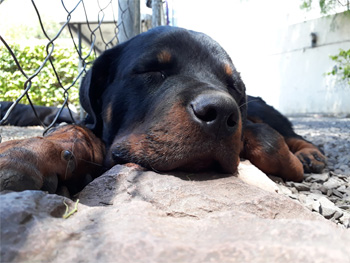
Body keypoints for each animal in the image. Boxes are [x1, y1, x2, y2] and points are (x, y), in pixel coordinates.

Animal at [0, 26, 326, 196]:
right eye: (153, 70)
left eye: (233, 85)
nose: (221, 112)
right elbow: (75, 131)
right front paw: (28, 152)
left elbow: (267, 141)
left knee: (290, 132)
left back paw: (310, 154)